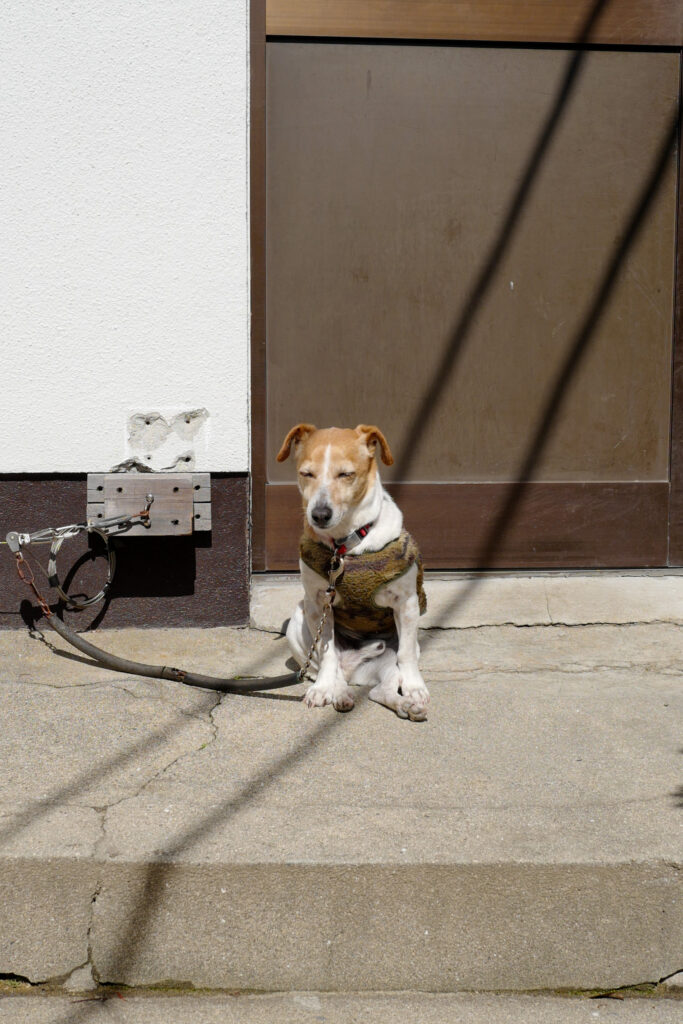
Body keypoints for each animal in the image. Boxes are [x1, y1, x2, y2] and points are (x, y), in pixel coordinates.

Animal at [276, 423, 428, 720]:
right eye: (306, 474)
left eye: (346, 474)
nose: (319, 514)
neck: (345, 545)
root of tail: (355, 670)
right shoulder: (317, 604)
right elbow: (327, 653)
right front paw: (323, 690)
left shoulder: (407, 604)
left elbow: (405, 655)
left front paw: (415, 688)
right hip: (298, 621)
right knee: (333, 671)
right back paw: (339, 694)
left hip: (389, 658)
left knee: (380, 689)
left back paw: (405, 704)